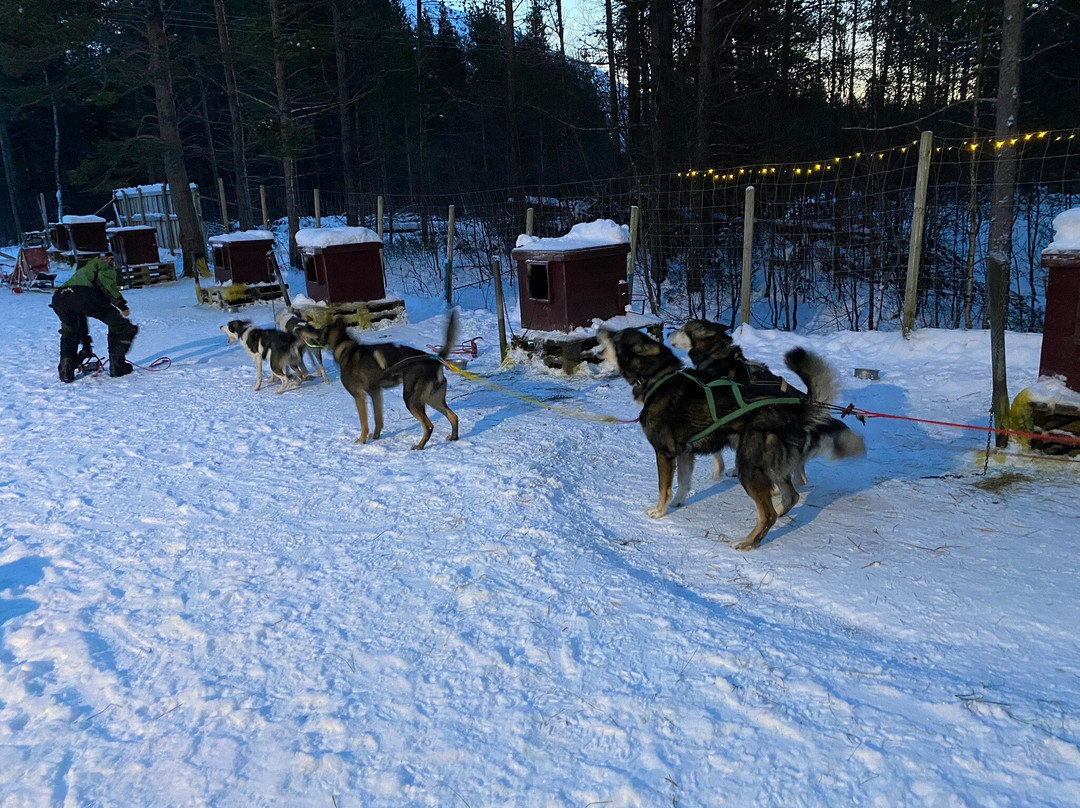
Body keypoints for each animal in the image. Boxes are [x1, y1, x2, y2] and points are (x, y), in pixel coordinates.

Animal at [315, 311, 460, 451]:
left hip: (411, 401)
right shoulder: (375, 393)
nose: (315, 340)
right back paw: (453, 437)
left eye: (320, 330)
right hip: (432, 399)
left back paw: (420, 446)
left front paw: (362, 440)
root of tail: (434, 360)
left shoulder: (359, 396)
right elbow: (378, 419)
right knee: (453, 417)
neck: (346, 348)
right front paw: (376, 436)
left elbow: (364, 423)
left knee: (429, 425)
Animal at [600, 326, 851, 548]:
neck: (658, 379)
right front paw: (678, 502)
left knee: (768, 512)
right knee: (791, 497)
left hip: (748, 468)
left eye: (616, 336)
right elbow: (683, 482)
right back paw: (776, 516)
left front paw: (660, 511)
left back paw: (748, 542)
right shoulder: (685, 452)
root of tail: (793, 410)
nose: (601, 329)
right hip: (770, 468)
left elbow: (664, 488)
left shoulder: (664, 453)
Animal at [669, 319, 864, 486]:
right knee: (800, 477)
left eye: (682, 329)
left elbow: (717, 454)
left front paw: (719, 471)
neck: (717, 356)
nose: (669, 333)